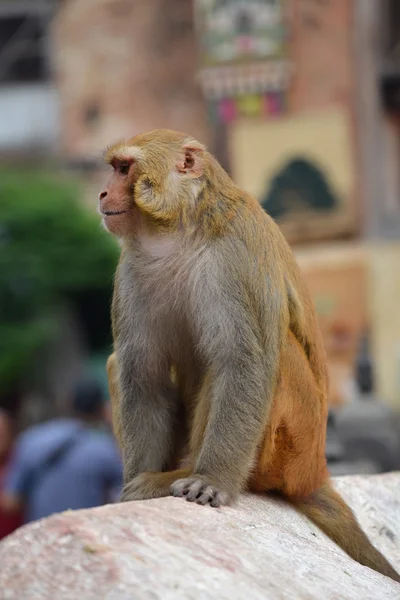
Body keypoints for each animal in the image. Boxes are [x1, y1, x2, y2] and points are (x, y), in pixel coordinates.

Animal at [97, 129, 400, 584]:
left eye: (123, 168)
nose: (102, 192)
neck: (180, 230)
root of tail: (315, 472)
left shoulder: (234, 256)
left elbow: (242, 364)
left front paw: (212, 482)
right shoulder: (132, 270)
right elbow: (143, 376)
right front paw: (134, 488)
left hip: (291, 445)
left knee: (263, 359)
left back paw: (191, 474)